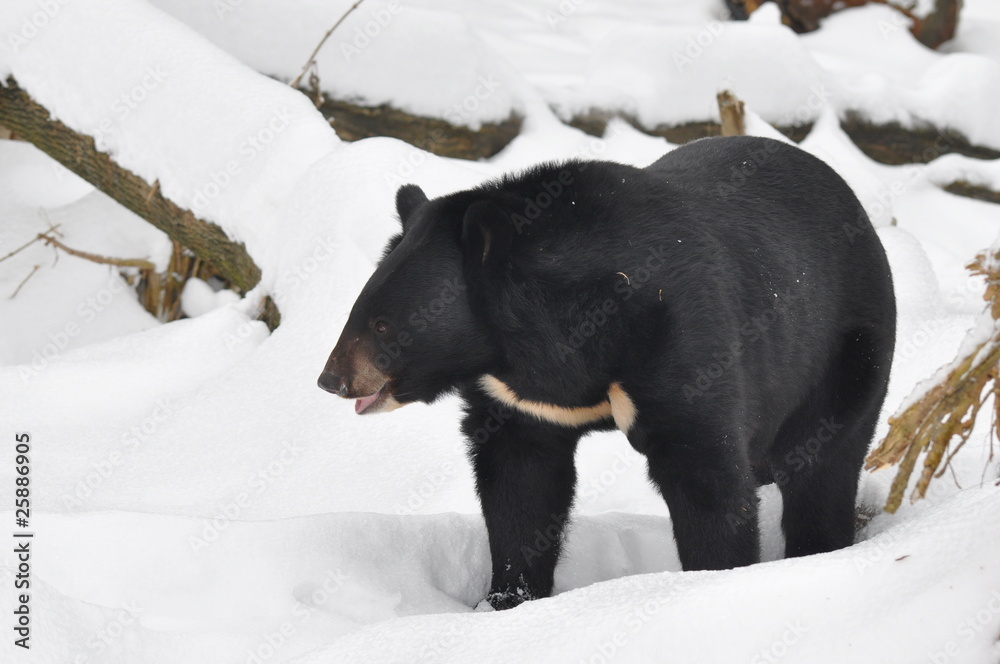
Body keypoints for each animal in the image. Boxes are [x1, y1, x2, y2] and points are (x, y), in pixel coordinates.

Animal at [318, 135, 896, 610]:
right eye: (358, 311)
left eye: (385, 324)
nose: (332, 380)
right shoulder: (520, 402)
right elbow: (520, 486)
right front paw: (507, 599)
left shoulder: (679, 339)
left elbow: (705, 473)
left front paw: (712, 577)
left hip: (844, 354)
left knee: (821, 467)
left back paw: (816, 550)